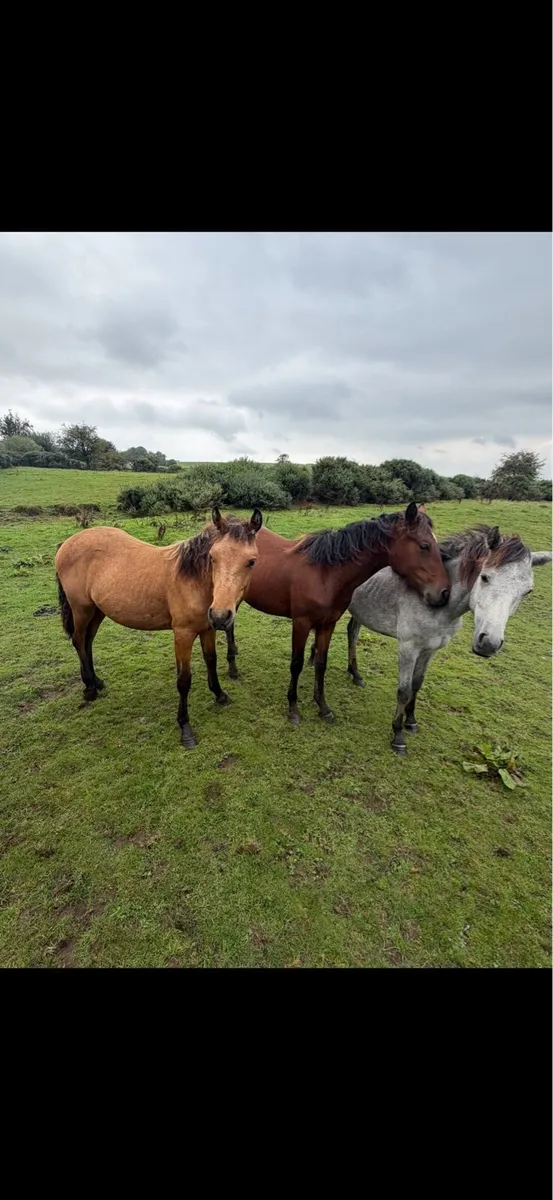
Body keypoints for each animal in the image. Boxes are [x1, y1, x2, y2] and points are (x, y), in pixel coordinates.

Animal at [55, 507, 262, 749]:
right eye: (213, 557)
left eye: (251, 561)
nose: (221, 616)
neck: (192, 580)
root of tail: (67, 543)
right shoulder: (183, 635)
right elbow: (184, 680)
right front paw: (185, 728)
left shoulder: (207, 629)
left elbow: (211, 660)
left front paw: (220, 694)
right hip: (82, 609)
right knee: (79, 640)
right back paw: (89, 689)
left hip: (97, 611)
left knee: (88, 641)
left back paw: (96, 681)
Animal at [224, 501, 451, 726]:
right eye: (424, 546)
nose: (443, 593)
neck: (326, 574)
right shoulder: (301, 623)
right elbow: (296, 664)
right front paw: (293, 709)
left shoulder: (328, 623)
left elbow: (321, 663)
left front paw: (323, 707)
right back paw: (233, 669)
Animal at [340, 524, 552, 753]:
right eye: (485, 577)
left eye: (527, 591)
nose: (489, 644)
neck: (438, 604)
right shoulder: (408, 648)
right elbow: (404, 691)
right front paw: (398, 735)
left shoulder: (431, 649)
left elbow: (417, 684)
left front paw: (411, 722)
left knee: (352, 632)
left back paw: (355, 674)